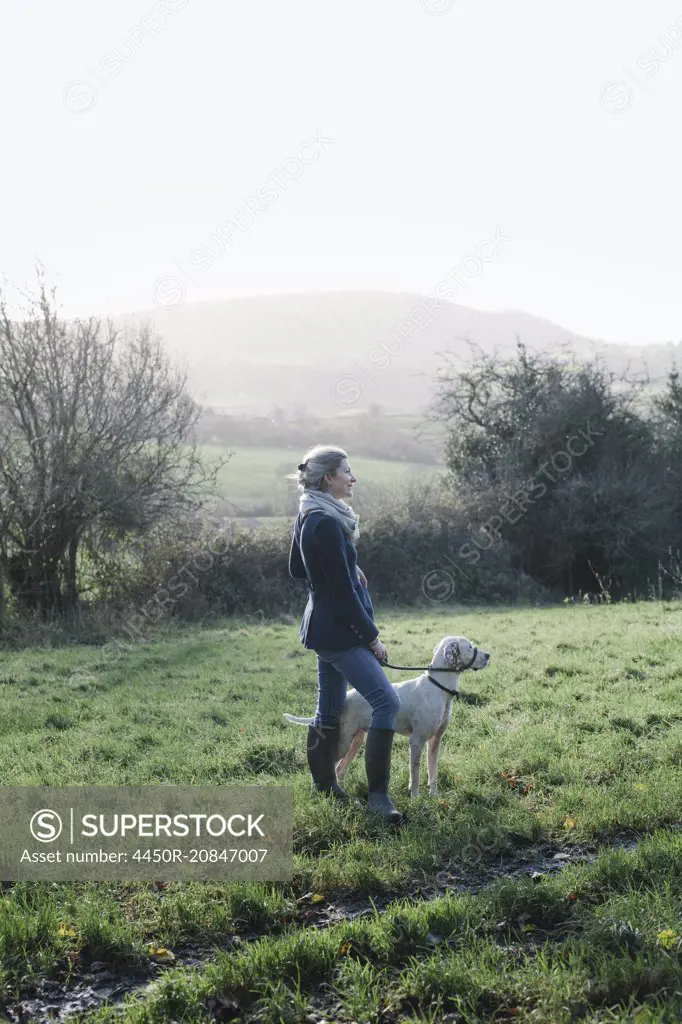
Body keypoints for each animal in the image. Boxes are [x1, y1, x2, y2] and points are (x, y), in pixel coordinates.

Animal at [282, 630, 489, 798]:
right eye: (470, 646)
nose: (489, 655)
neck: (438, 688)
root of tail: (346, 698)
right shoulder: (416, 741)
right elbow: (415, 774)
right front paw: (416, 799)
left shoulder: (435, 741)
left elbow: (433, 773)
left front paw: (434, 796)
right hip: (344, 742)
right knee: (327, 766)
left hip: (355, 741)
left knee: (339, 768)